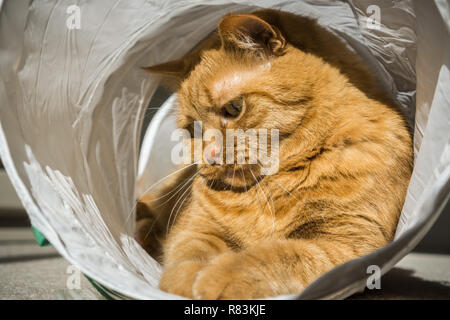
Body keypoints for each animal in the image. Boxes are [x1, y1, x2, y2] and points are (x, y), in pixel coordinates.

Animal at [137, 10, 412, 300]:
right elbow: (189, 254)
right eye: (192, 129)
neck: (269, 189)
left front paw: (217, 277)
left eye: (234, 108)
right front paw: (188, 280)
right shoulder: (196, 227)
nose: (210, 156)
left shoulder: (348, 242)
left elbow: (275, 255)